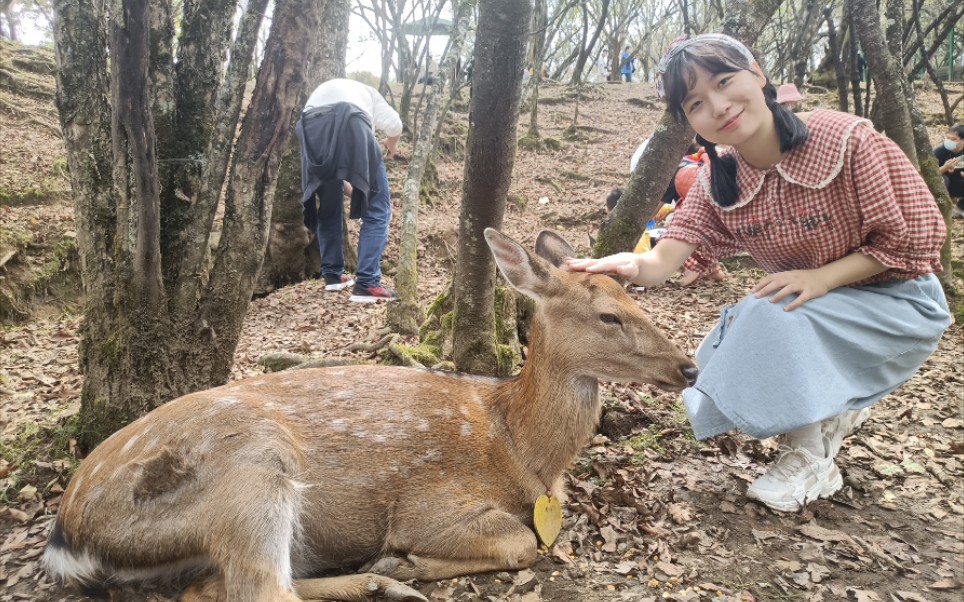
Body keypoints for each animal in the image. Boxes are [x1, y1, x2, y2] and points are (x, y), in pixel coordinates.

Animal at [45, 227, 696, 596]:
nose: (688, 367)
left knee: (209, 589)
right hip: (251, 467)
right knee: (259, 590)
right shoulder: (428, 504)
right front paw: (410, 562)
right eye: (609, 316)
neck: (519, 447)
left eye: (633, 297)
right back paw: (390, 580)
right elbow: (522, 543)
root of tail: (67, 533)